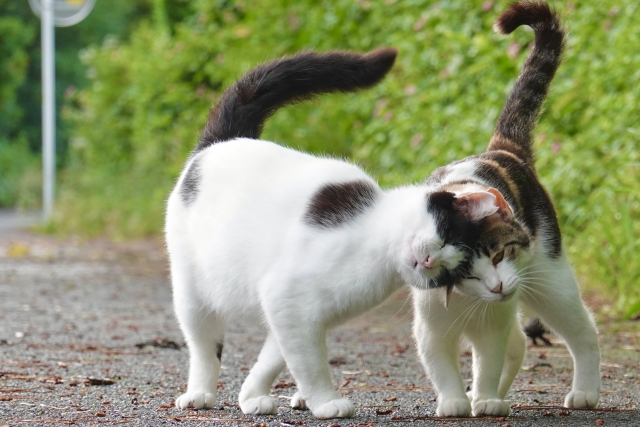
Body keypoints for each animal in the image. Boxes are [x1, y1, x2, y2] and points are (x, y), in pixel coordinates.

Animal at [166, 47, 496, 418]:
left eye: (450, 272)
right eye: (446, 233)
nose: (429, 262)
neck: (376, 251)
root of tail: (224, 142)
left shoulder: (292, 311)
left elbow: (277, 357)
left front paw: (252, 395)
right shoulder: (287, 297)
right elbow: (311, 365)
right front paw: (326, 402)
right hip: (192, 290)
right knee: (203, 345)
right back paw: (199, 393)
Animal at [412, 0, 604, 418]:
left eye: (499, 255)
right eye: (467, 274)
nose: (497, 286)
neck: (466, 302)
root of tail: (502, 148)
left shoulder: (492, 324)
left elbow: (489, 359)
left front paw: (483, 398)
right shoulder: (433, 325)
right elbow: (440, 363)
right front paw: (455, 400)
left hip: (549, 281)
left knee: (582, 331)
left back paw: (584, 390)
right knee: (518, 343)